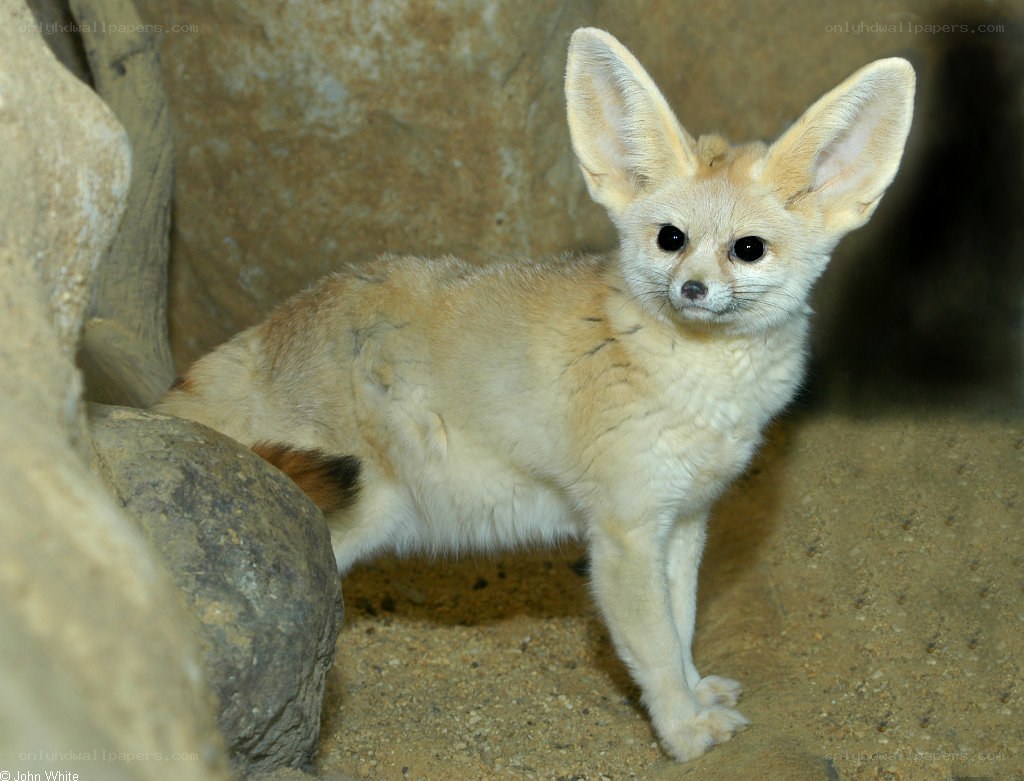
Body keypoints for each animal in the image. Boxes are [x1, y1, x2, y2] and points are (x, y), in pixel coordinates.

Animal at [156, 28, 915, 762]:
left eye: (748, 249)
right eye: (671, 239)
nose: (693, 290)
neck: (696, 377)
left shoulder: (683, 520)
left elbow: (684, 622)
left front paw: (698, 693)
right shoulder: (624, 533)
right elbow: (655, 647)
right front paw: (683, 730)